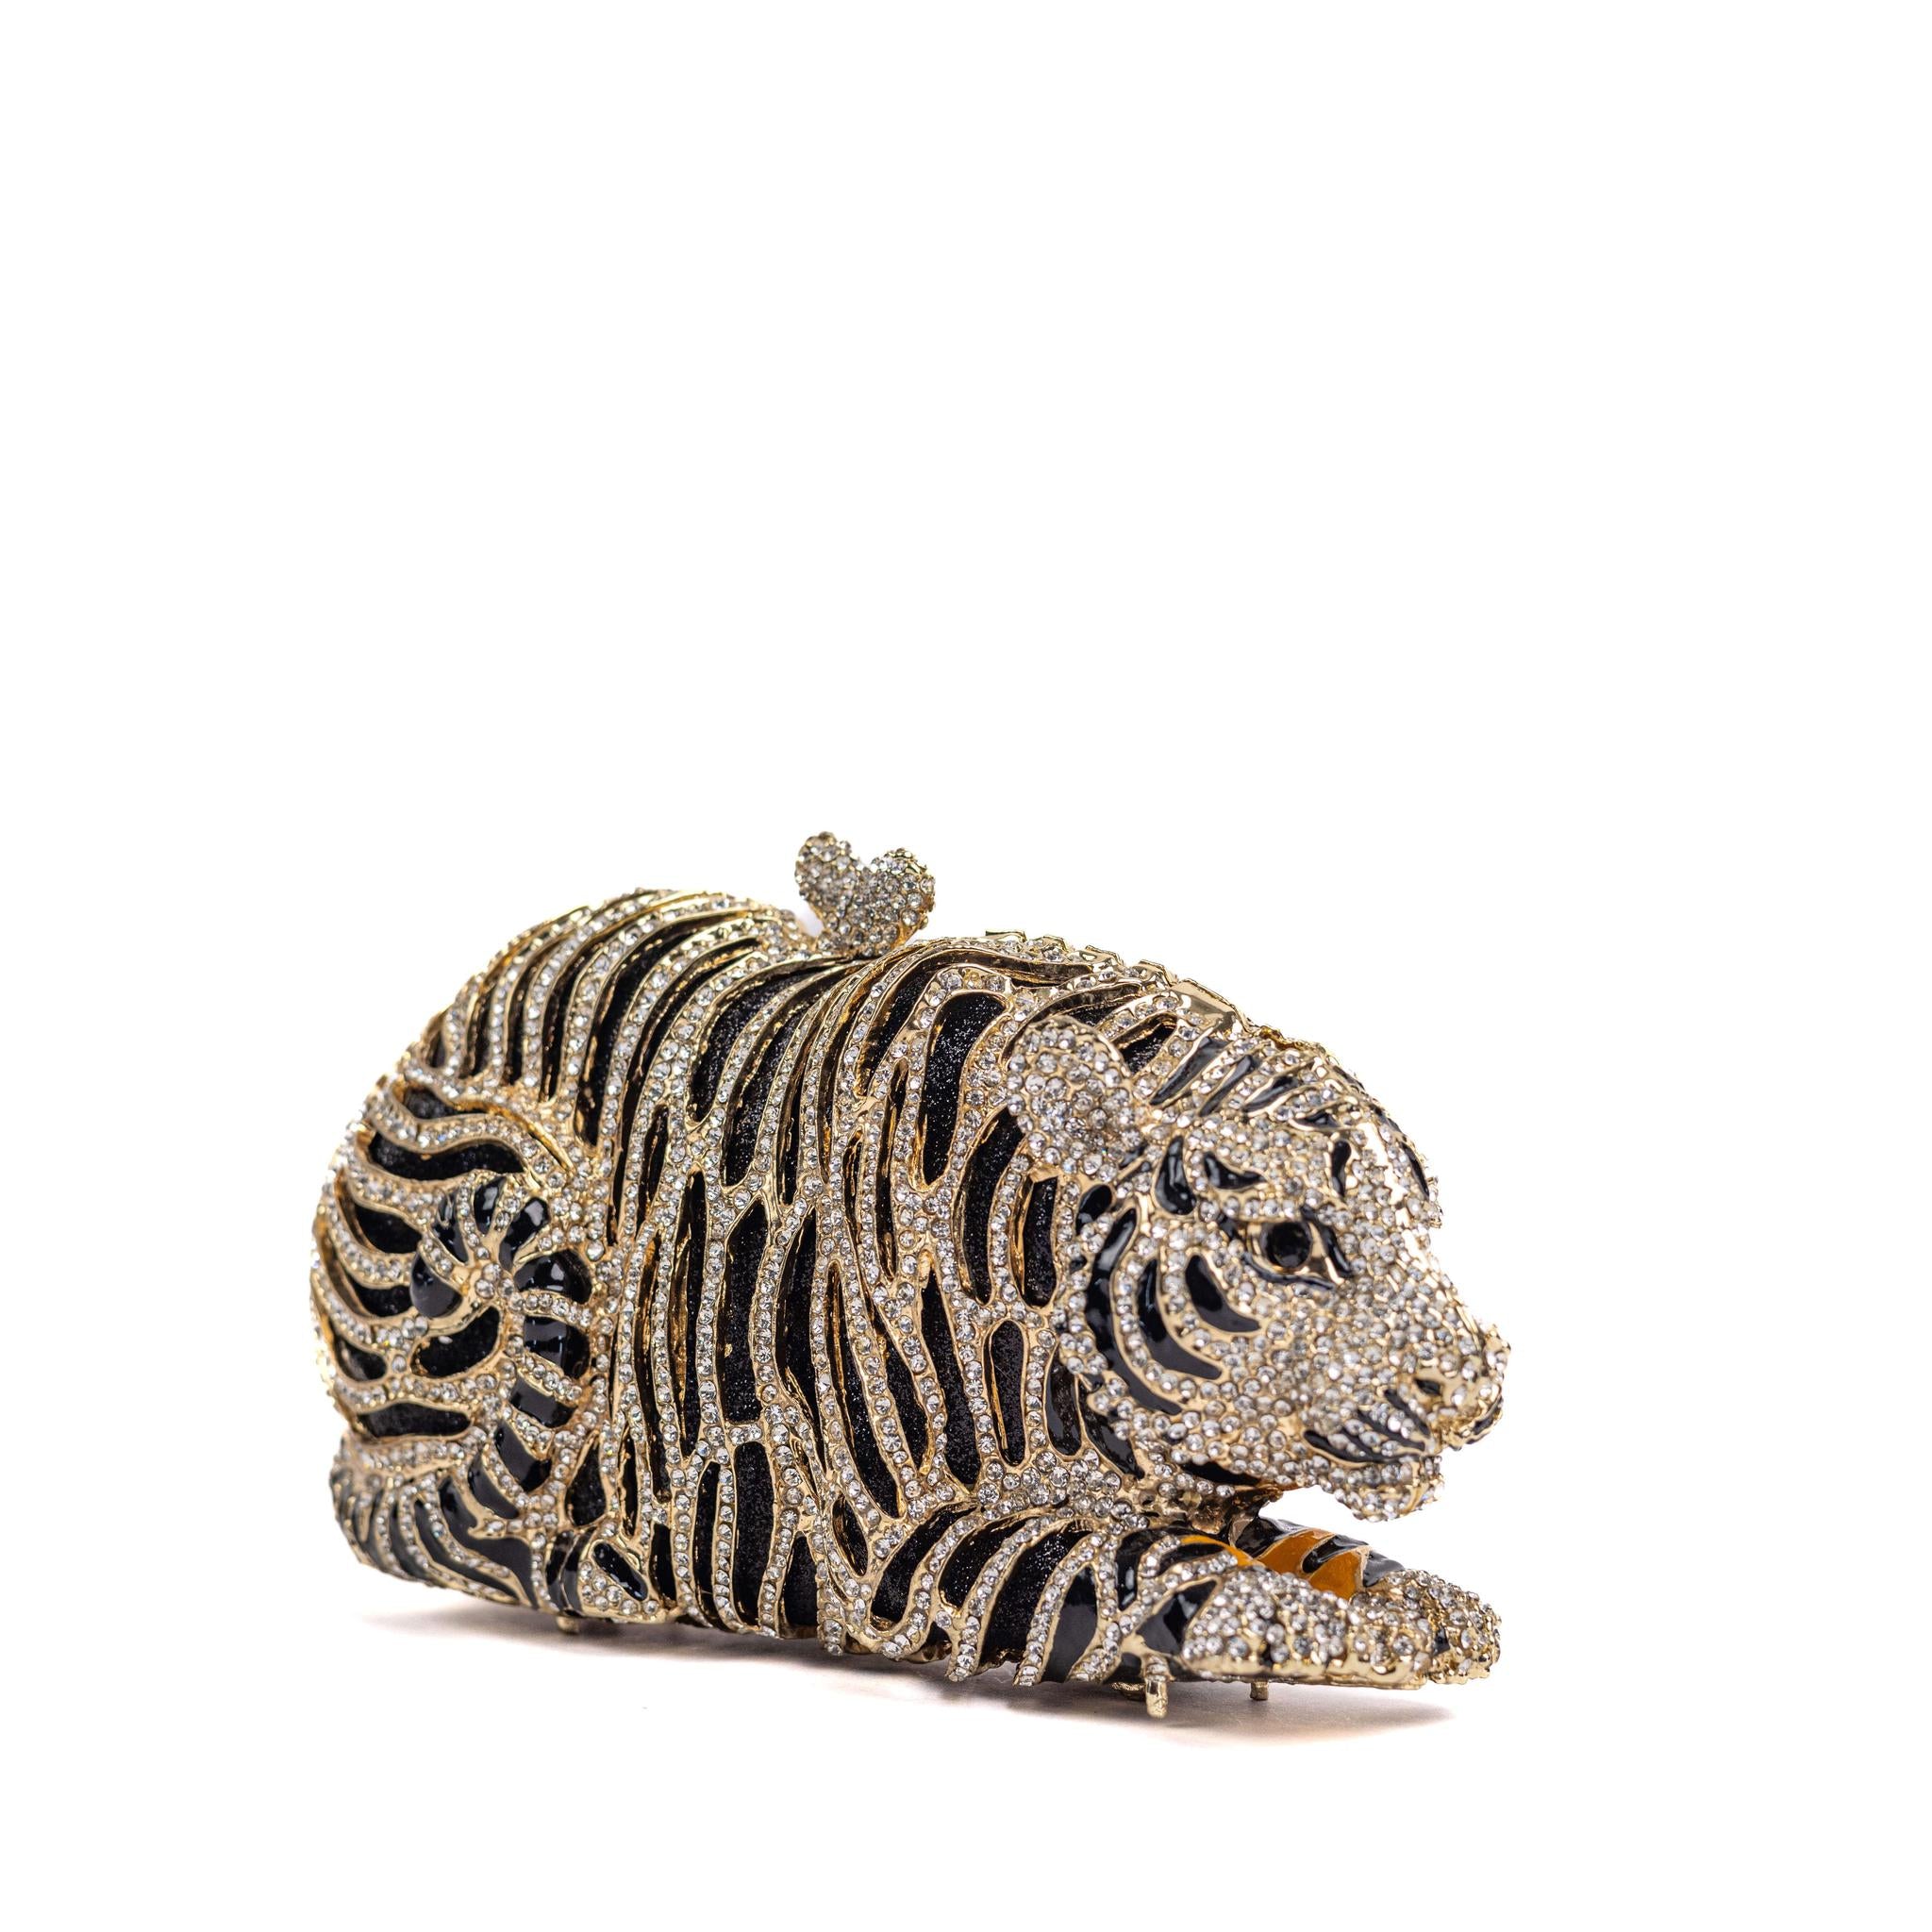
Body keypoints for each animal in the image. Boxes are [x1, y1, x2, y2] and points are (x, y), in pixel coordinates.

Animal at [314, 835, 1506, 1714]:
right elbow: (1158, 1577)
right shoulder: (897, 1551)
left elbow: (1332, 1558)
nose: (1472, 1388)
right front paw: (1328, 1633)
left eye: (1419, 1216)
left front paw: (1421, 1605)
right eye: (1283, 1244)